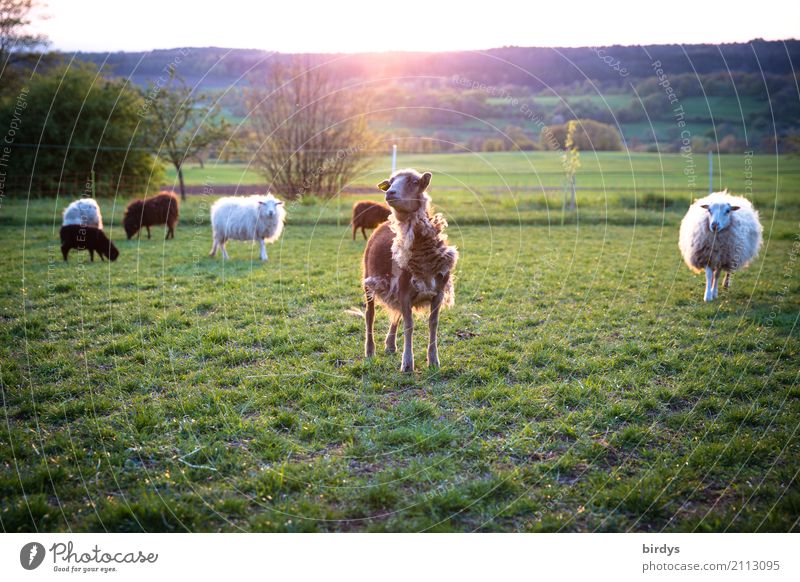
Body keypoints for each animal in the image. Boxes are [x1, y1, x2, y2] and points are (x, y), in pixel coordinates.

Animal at [362, 169, 456, 374]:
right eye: (390, 183)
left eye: (414, 182)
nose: (390, 193)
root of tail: (383, 223)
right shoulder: (405, 292)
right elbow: (409, 326)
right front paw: (407, 364)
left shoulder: (437, 293)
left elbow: (433, 324)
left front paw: (433, 360)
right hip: (368, 281)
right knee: (369, 315)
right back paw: (370, 351)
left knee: (395, 313)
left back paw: (390, 345)